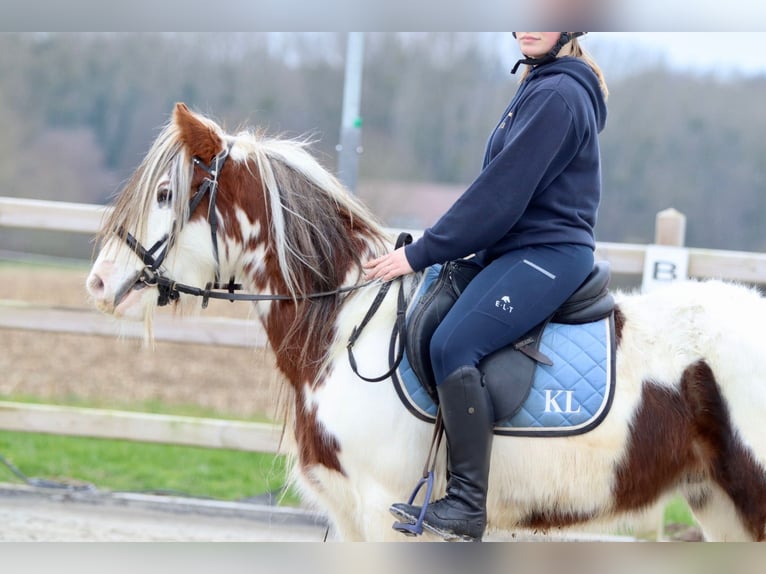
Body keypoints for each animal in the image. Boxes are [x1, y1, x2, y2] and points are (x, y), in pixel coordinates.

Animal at [85, 104, 766, 544]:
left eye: (167, 194)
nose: (97, 282)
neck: (346, 325)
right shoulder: (351, 519)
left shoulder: (381, 512)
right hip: (721, 510)